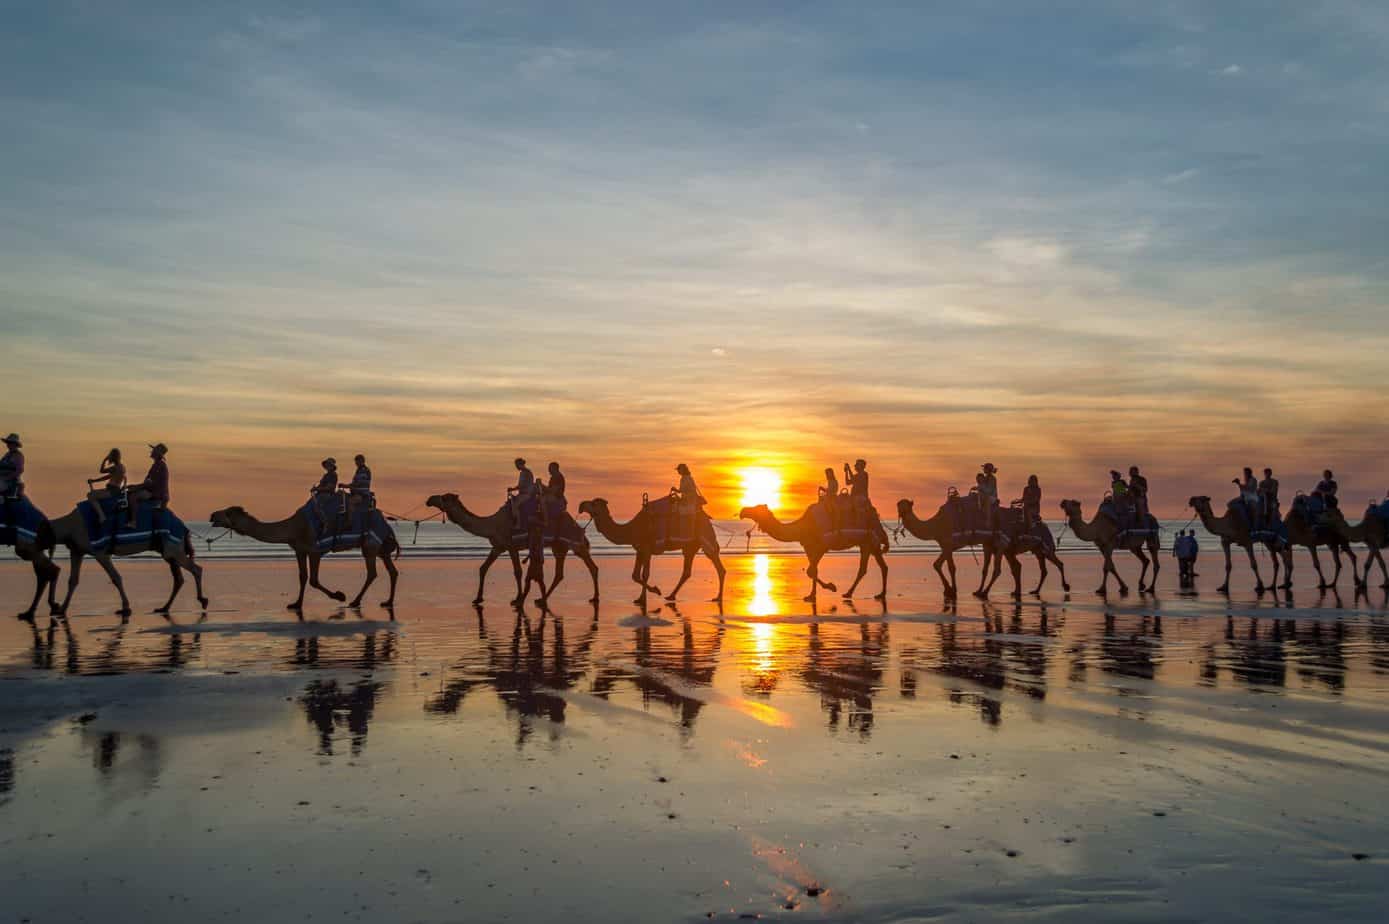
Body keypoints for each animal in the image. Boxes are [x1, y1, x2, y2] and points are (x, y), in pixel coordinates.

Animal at [50, 500, 206, 616]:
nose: (54, 605)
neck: (70, 526)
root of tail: (184, 527)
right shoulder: (77, 551)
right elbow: (73, 580)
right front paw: (61, 609)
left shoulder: (100, 552)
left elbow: (115, 577)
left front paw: (125, 608)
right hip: (168, 550)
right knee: (178, 578)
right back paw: (164, 607)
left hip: (174, 548)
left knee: (196, 569)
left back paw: (202, 600)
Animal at [209, 500, 397, 608]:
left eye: (227, 512)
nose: (212, 515)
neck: (292, 527)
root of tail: (386, 522)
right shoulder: (299, 550)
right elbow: (303, 577)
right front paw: (296, 604)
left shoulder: (314, 550)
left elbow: (313, 580)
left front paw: (339, 596)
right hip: (380, 548)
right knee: (392, 571)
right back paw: (388, 601)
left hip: (370, 544)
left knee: (372, 572)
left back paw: (355, 601)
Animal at [422, 489, 597, 605]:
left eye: (444, 497)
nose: (429, 499)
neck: (492, 524)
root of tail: (578, 526)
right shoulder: (498, 547)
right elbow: (483, 568)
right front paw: (478, 598)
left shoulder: (511, 545)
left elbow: (517, 572)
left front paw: (517, 598)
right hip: (559, 547)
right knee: (559, 573)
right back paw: (543, 598)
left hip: (574, 542)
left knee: (591, 566)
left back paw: (594, 598)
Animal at [575, 497, 727, 605]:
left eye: (594, 503)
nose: (581, 505)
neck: (630, 530)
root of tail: (707, 518)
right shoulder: (640, 550)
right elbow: (635, 575)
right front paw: (642, 597)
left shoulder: (647, 549)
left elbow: (644, 574)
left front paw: (650, 594)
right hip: (690, 546)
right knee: (687, 571)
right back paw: (671, 595)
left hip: (705, 537)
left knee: (719, 566)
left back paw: (718, 597)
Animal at [744, 500, 883, 603]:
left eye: (757, 509)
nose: (742, 511)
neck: (802, 527)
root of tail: (875, 516)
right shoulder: (809, 547)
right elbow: (812, 571)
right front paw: (812, 595)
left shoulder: (821, 547)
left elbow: (811, 571)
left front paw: (831, 587)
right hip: (872, 543)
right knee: (882, 567)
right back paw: (879, 594)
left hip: (867, 542)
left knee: (864, 569)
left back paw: (850, 593)